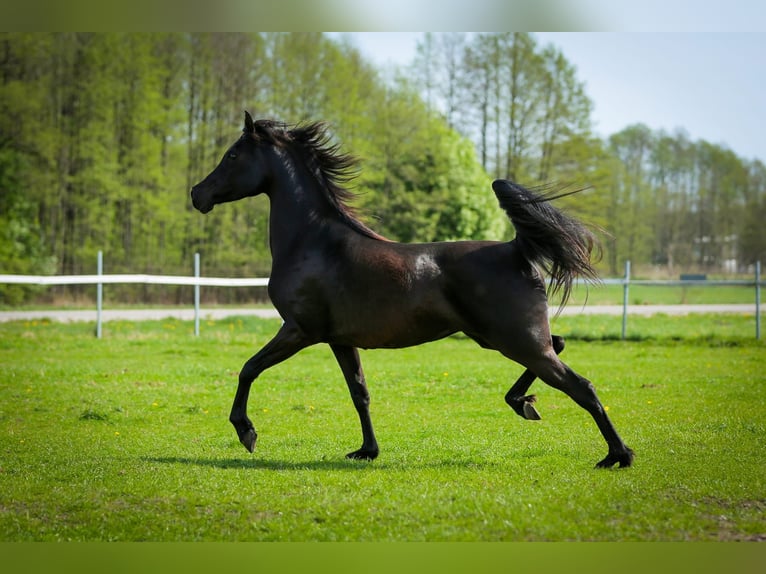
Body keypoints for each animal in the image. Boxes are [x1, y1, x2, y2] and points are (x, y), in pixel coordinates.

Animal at [190, 111, 634, 468]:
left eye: (232, 156)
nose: (197, 194)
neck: (312, 242)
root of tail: (516, 249)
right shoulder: (338, 339)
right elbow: (360, 392)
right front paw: (367, 451)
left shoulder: (299, 330)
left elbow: (249, 368)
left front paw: (246, 432)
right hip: (504, 338)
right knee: (559, 345)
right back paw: (523, 404)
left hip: (515, 339)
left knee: (581, 386)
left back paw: (617, 455)